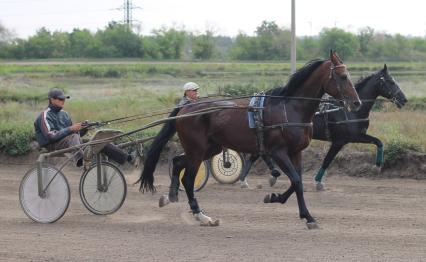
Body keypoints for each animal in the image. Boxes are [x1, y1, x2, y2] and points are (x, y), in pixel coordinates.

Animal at [138, 50, 362, 228]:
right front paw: (306, 216)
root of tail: (185, 107)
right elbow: (296, 181)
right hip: (197, 149)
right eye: (343, 76)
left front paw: (277, 199)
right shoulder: (278, 152)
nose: (357, 103)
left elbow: (296, 182)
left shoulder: (296, 152)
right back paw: (201, 216)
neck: (290, 109)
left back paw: (170, 197)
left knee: (177, 163)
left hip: (210, 148)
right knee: (188, 179)